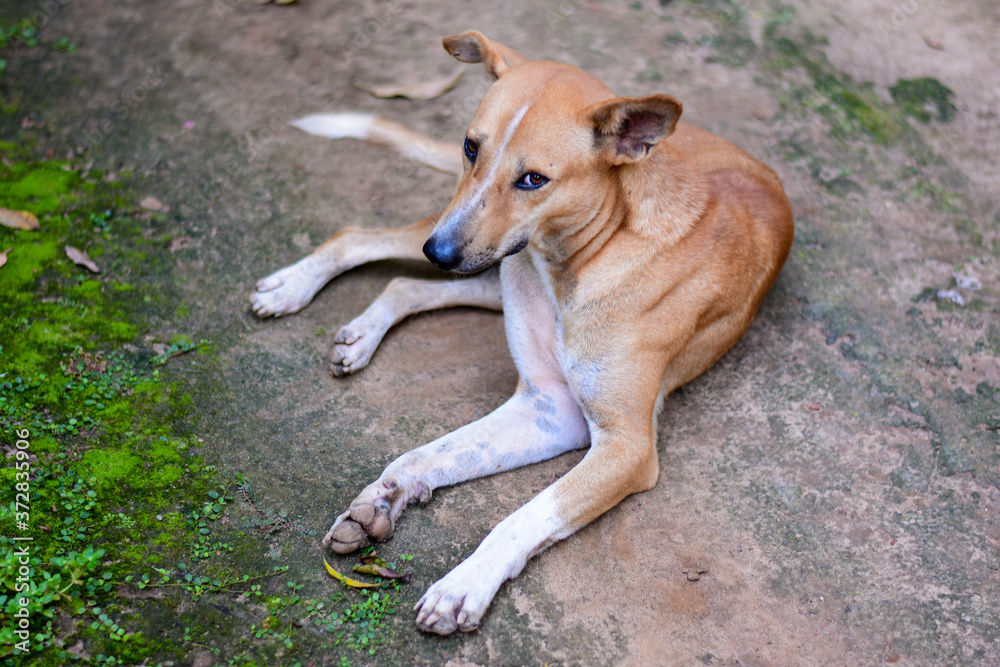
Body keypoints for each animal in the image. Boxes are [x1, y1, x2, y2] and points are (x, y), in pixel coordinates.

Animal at [252, 32, 796, 636]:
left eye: (534, 178)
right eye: (471, 147)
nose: (440, 253)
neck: (584, 255)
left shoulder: (617, 443)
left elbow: (522, 514)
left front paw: (463, 584)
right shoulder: (549, 402)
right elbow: (423, 454)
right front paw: (385, 496)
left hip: (485, 267)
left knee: (404, 281)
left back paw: (362, 325)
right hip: (471, 247)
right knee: (362, 239)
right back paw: (294, 286)